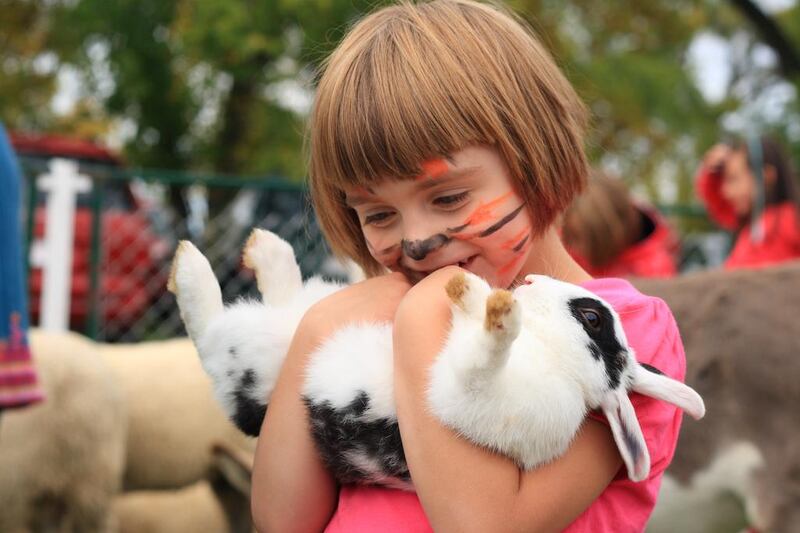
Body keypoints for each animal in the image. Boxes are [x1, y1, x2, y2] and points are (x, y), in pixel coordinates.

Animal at [170, 227, 708, 488]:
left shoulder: (476, 389)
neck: (555, 360)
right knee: (283, 294)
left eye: (592, 318)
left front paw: (495, 311)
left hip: (249, 356)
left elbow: (483, 354)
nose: (530, 281)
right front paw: (473, 290)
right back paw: (266, 249)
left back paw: (192, 265)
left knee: (207, 327)